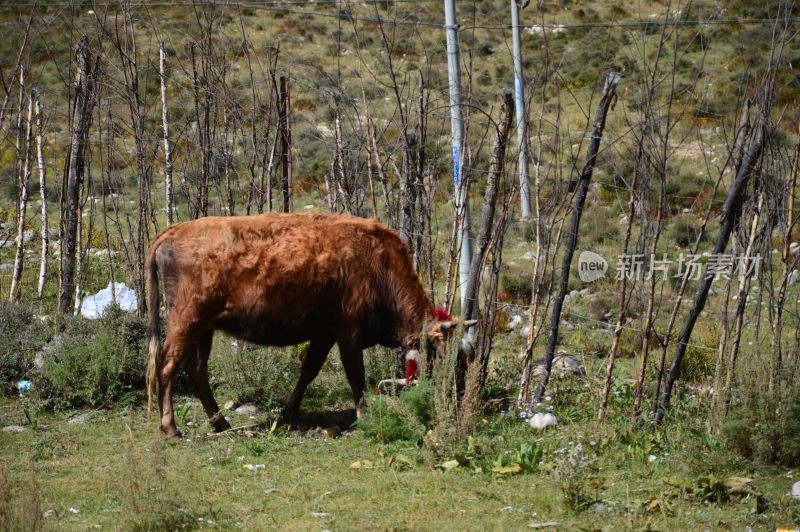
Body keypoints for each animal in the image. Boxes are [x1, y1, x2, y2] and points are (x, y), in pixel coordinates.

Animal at [147, 212, 466, 436]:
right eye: (443, 357)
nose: (455, 399)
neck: (379, 262)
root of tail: (172, 231)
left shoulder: (324, 334)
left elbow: (308, 371)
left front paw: (287, 414)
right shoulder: (348, 334)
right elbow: (356, 376)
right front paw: (364, 415)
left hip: (204, 329)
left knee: (197, 370)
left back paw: (221, 424)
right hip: (186, 322)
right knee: (167, 366)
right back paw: (171, 428)